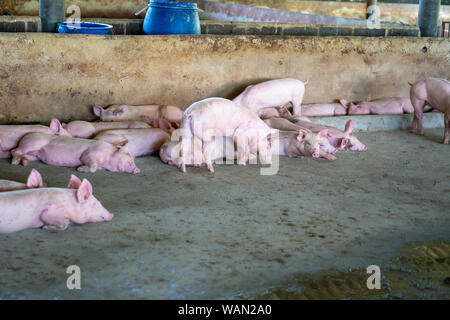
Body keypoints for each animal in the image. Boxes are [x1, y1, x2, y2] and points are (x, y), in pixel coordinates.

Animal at [11, 132, 141, 174]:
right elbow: (93, 166)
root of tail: (25, 136)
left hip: (35, 155)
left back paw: (25, 163)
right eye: (128, 155)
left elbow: (95, 167)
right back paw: (14, 162)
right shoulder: (89, 153)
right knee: (14, 151)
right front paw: (79, 169)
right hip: (32, 143)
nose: (137, 169)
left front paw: (80, 167)